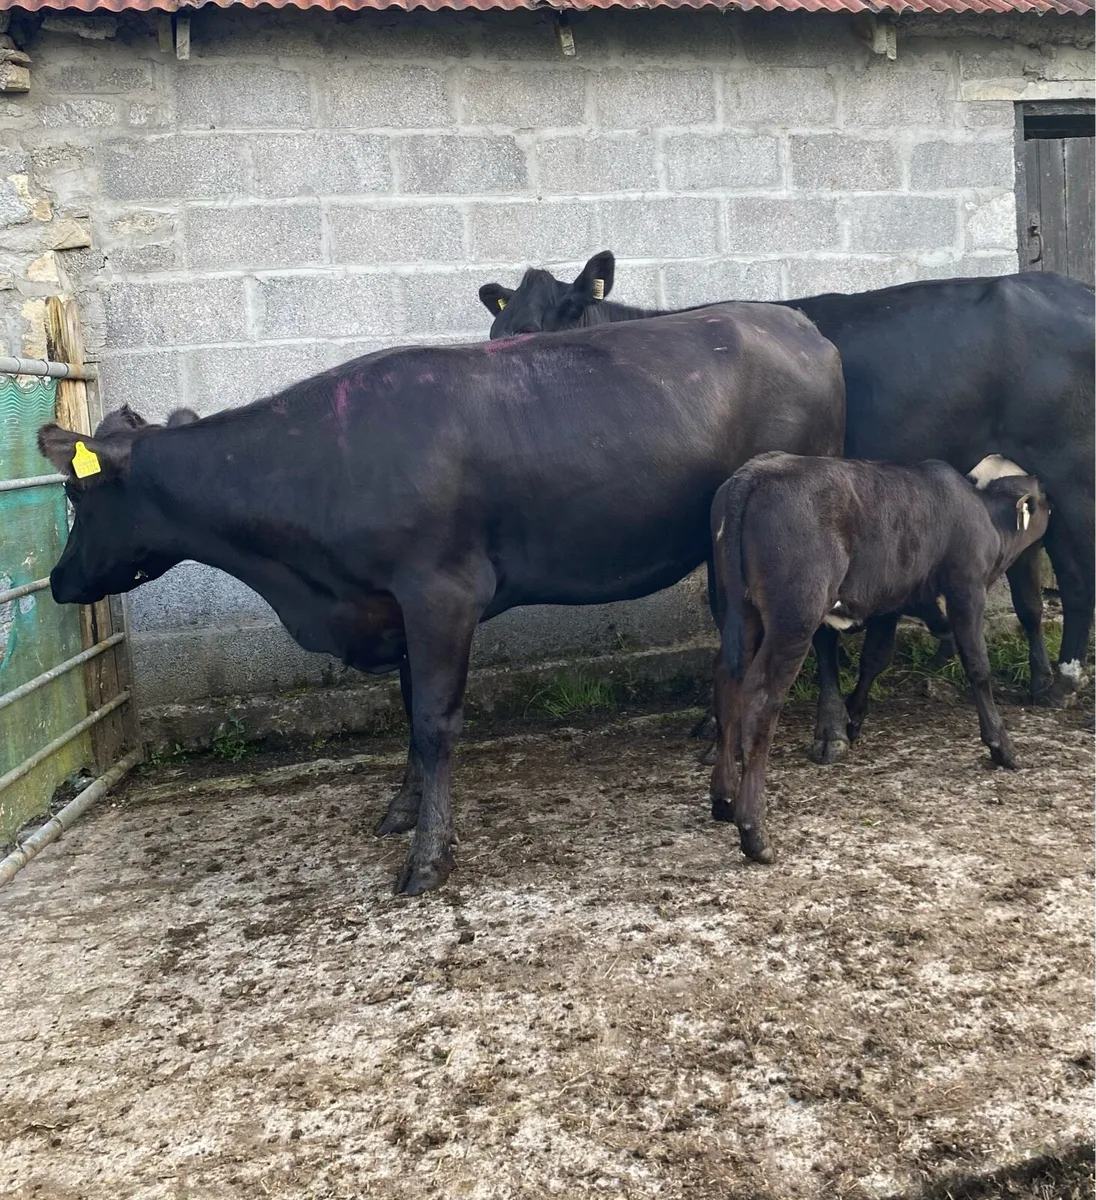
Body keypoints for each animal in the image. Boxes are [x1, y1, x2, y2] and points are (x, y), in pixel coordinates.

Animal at [38, 303, 845, 896]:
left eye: (77, 493)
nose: (57, 582)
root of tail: (799, 323)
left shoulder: (441, 594)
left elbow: (433, 723)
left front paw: (428, 857)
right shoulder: (391, 605)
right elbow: (406, 713)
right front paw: (402, 808)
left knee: (824, 633)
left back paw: (830, 736)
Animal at [478, 253, 1095, 755]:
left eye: (528, 332)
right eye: (496, 329)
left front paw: (814, 725)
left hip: (1073, 469)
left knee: (1075, 569)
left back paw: (1066, 676)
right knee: (1029, 584)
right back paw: (1040, 682)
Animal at [707, 451, 1051, 866]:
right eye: (1043, 497)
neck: (980, 511)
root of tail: (754, 472)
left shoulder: (893, 600)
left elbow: (876, 656)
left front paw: (853, 718)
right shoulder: (966, 590)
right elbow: (977, 667)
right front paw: (1001, 746)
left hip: (737, 611)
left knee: (727, 682)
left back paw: (723, 798)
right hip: (794, 615)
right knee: (761, 700)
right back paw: (754, 832)